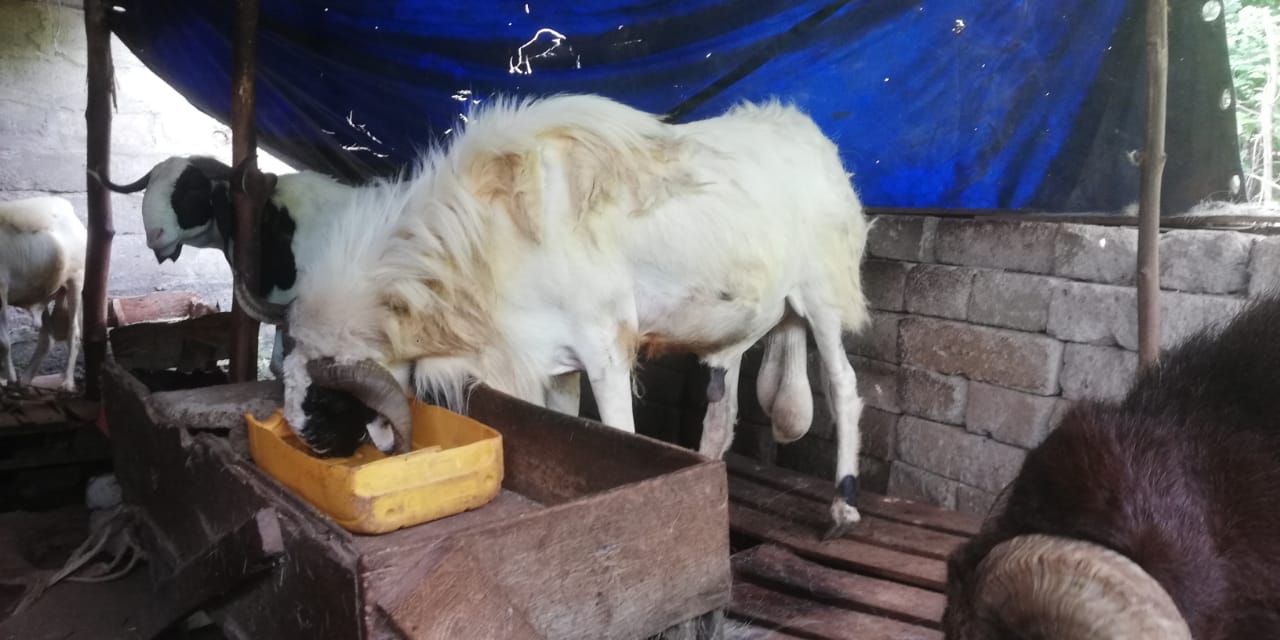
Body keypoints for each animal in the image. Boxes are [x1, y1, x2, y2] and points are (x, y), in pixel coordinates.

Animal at [0, 196, 86, 391]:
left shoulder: (1, 291)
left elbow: (4, 342)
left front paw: (9, 379)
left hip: (76, 281)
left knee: (73, 333)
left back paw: (67, 382)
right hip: (47, 293)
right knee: (47, 338)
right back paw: (26, 379)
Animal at [235, 93, 872, 534]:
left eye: (327, 394)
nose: (310, 443)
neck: (487, 244)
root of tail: (809, 132)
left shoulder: (606, 348)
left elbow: (619, 434)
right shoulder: (554, 359)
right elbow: (569, 426)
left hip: (822, 296)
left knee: (844, 385)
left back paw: (843, 505)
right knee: (724, 403)